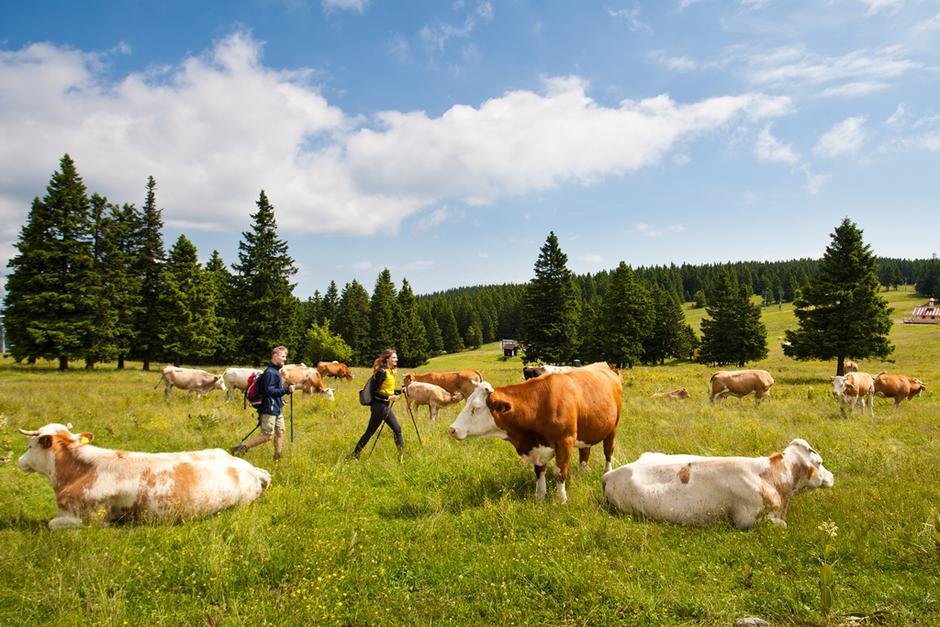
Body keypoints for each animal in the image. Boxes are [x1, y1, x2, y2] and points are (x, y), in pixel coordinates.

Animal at [16, 422, 272, 528]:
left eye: (30, 446)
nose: (19, 462)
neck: (77, 472)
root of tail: (250, 469)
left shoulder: (88, 518)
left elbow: (51, 523)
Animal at [450, 364, 624, 506]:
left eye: (476, 408)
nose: (452, 429)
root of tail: (607, 368)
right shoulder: (538, 446)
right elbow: (539, 471)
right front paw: (540, 496)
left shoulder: (565, 441)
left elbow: (559, 473)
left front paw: (561, 500)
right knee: (584, 451)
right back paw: (582, 472)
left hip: (613, 427)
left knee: (608, 451)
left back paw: (607, 472)